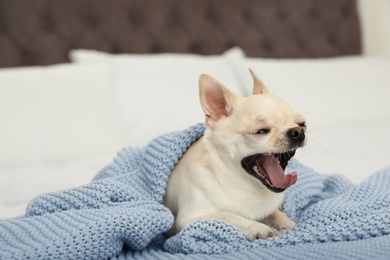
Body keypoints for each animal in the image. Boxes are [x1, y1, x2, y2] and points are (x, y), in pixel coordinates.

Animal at [163, 69, 306, 242]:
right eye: (261, 131)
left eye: (302, 124)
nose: (298, 132)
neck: (243, 186)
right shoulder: (188, 219)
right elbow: (229, 215)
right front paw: (257, 227)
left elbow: (277, 214)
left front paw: (289, 225)